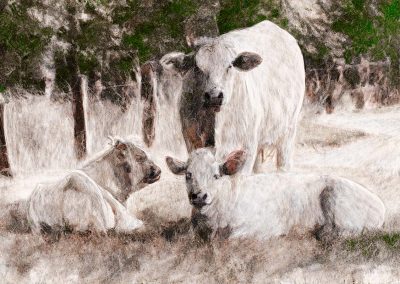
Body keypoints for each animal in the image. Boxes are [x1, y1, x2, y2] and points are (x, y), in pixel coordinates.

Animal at [166, 149, 384, 242]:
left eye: (216, 175)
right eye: (188, 175)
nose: (198, 196)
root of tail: (379, 204)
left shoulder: (263, 226)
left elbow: (232, 239)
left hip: (339, 204)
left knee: (349, 233)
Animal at [167, 20, 304, 173]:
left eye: (230, 66)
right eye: (197, 67)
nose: (214, 96)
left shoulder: (244, 148)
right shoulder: (192, 141)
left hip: (287, 133)